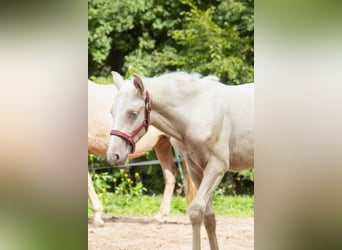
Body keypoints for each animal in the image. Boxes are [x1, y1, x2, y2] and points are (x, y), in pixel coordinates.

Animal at [107, 72, 254, 250]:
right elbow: (209, 217)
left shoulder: (217, 167)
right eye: (112, 112)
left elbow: (196, 211)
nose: (113, 156)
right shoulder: (195, 169)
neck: (195, 111)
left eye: (133, 113)